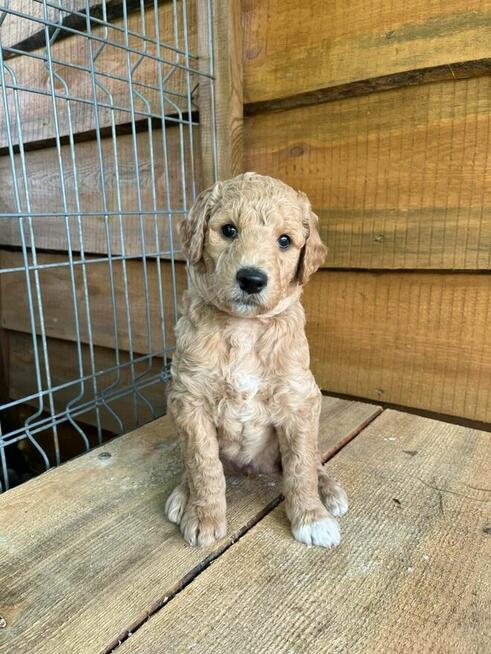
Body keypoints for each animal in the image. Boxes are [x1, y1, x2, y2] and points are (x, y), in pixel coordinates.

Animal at [166, 173, 350, 548]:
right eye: (228, 230)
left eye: (285, 240)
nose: (251, 279)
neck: (245, 327)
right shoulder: (189, 399)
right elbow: (202, 464)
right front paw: (204, 516)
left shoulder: (299, 399)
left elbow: (300, 466)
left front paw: (311, 517)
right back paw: (182, 494)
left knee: (314, 461)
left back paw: (329, 491)